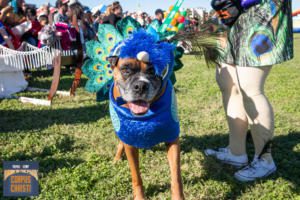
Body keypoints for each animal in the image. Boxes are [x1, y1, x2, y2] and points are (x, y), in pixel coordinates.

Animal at [106, 30, 184, 199]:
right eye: (126, 70)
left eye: (152, 71)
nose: (141, 85)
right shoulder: (129, 142)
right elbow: (136, 176)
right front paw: (140, 196)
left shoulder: (172, 139)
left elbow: (176, 175)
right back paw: (117, 158)